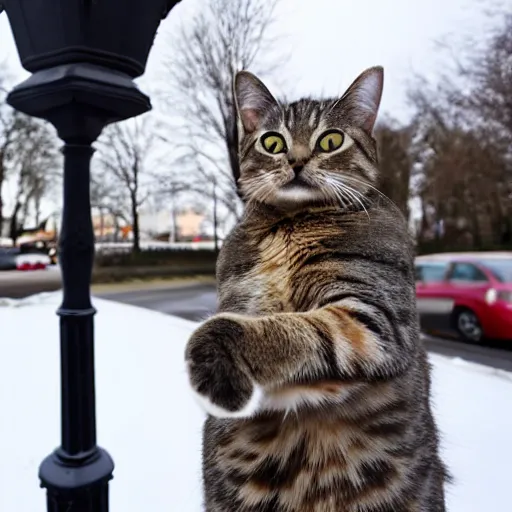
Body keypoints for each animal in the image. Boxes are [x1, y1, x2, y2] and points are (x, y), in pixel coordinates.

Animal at [185, 66, 448, 510]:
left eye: (330, 140)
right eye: (273, 142)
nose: (296, 161)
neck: (293, 222)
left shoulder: (373, 321)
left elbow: (293, 330)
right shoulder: (241, 294)